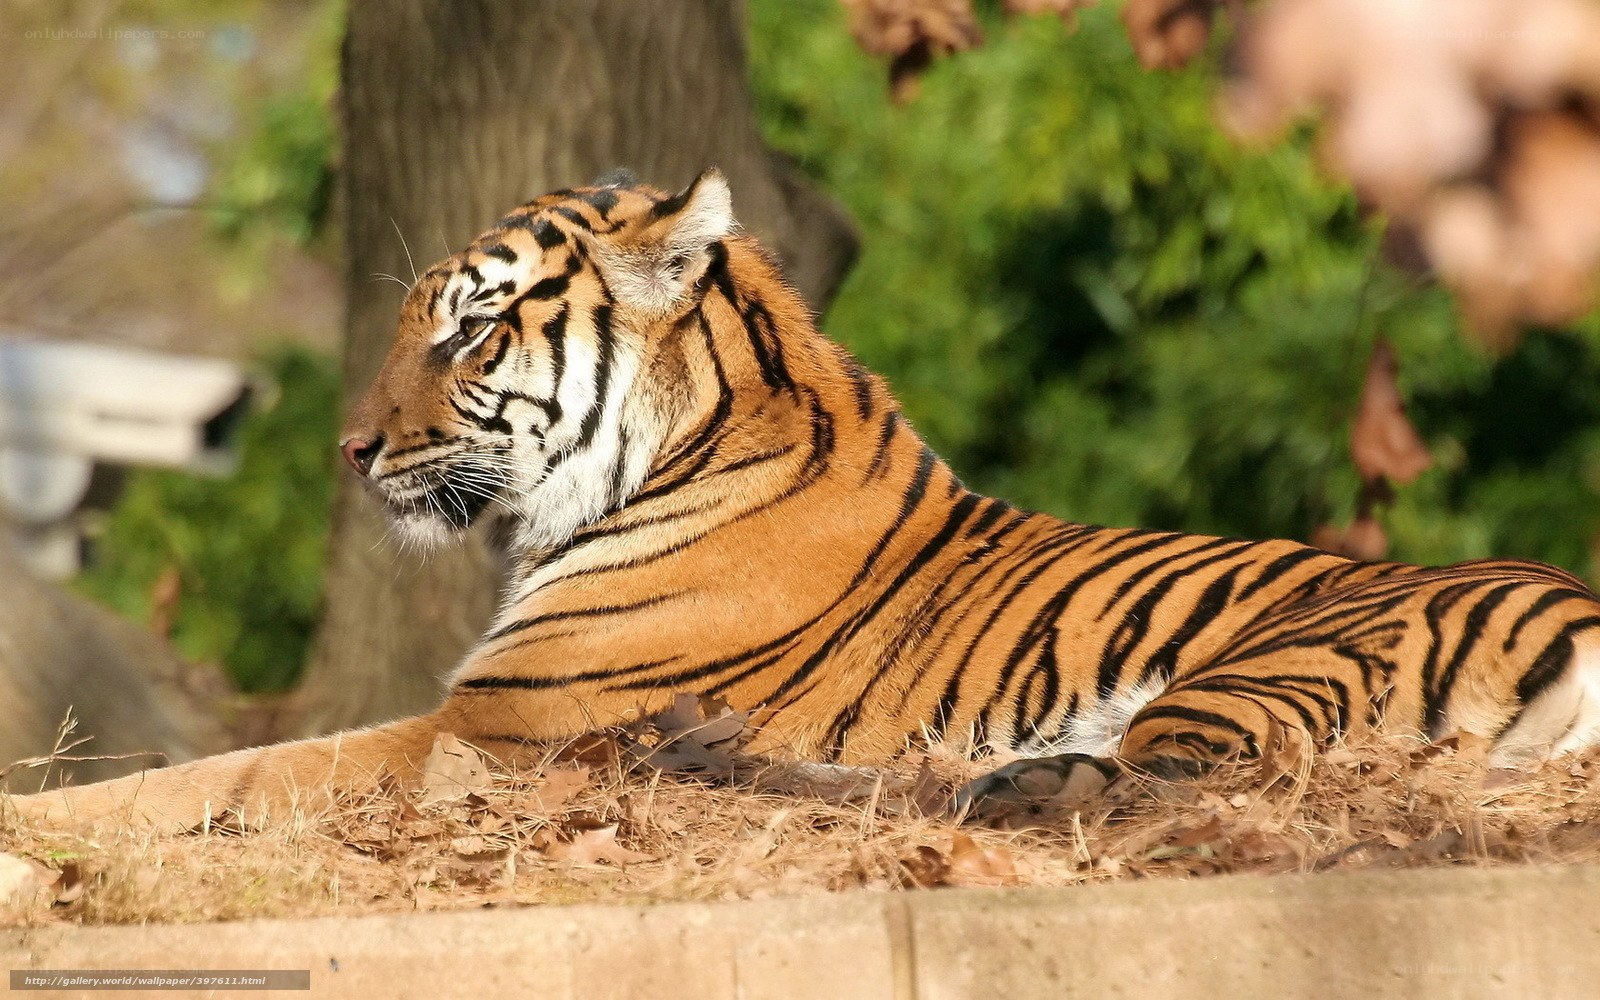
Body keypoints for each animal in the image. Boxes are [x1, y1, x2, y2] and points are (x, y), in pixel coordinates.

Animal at [9, 169, 1600, 833]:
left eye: (469, 329)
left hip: (1266, 662)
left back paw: (993, 786)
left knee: (1196, 778)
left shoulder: (491, 727)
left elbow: (232, 774)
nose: (349, 449)